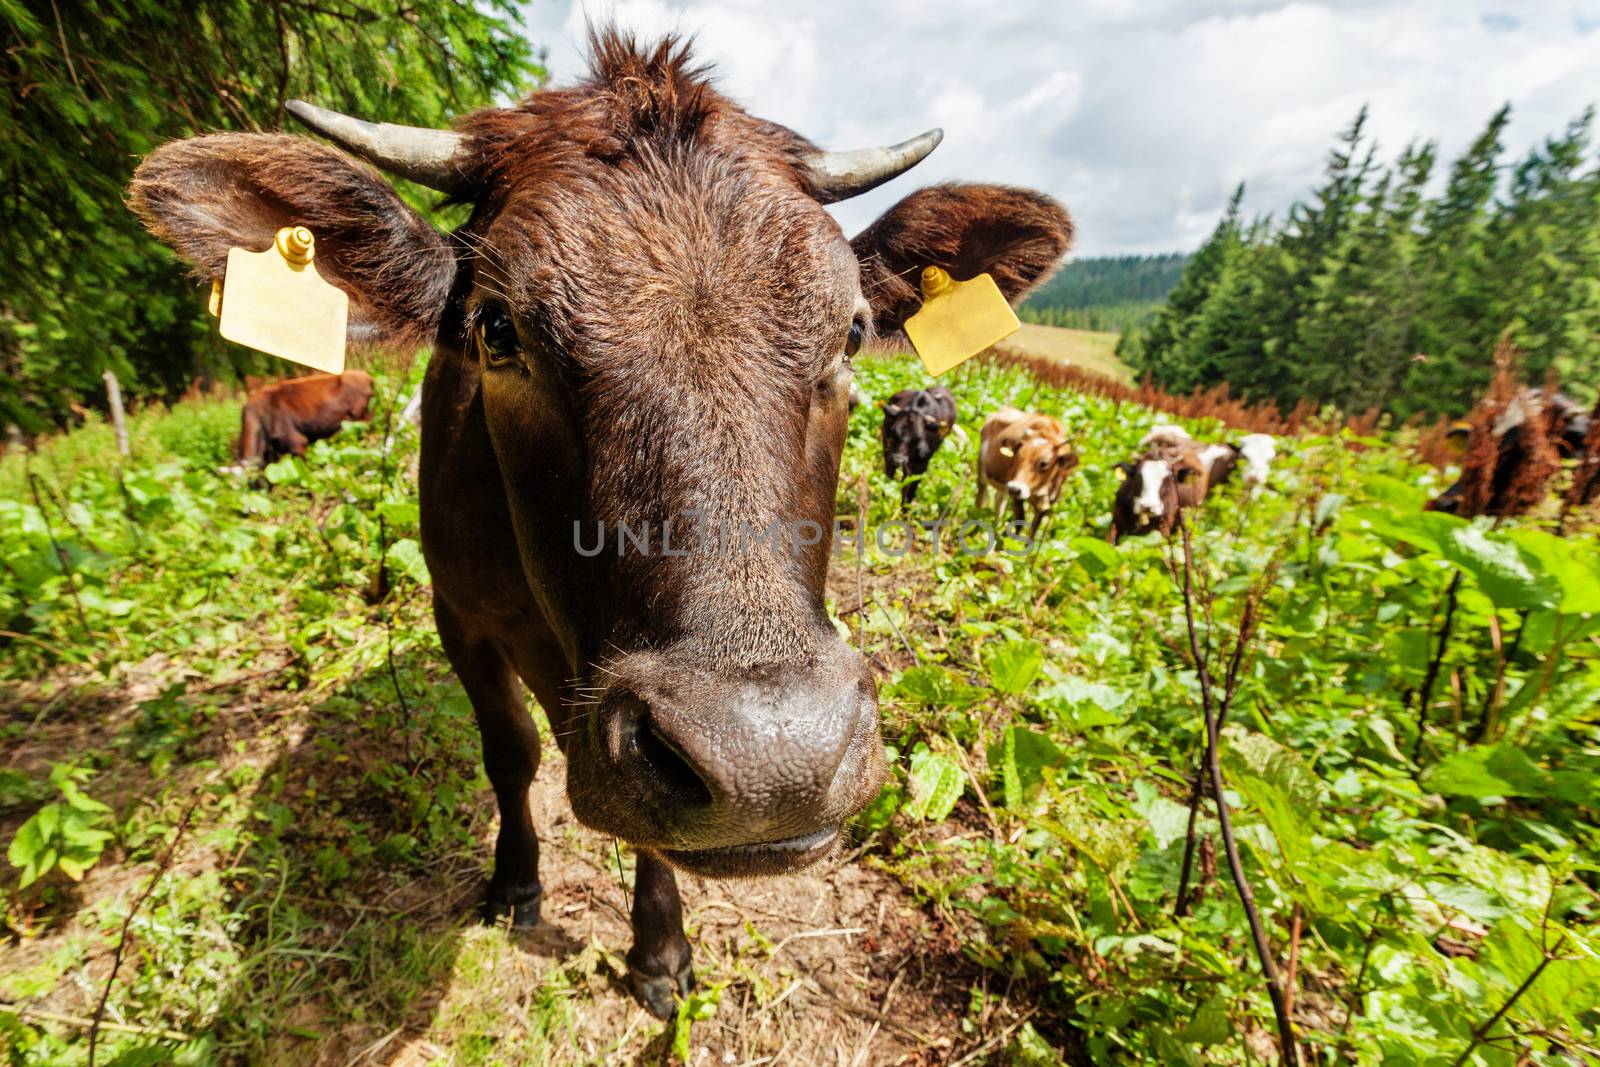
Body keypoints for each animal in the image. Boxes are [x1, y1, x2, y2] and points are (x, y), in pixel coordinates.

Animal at [972, 406, 1075, 534]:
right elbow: (1019, 522)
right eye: (1018, 455)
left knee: (999, 502)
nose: (1015, 488)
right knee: (981, 500)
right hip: (982, 471)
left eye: (1044, 463)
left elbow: (1033, 530)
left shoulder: (1046, 504)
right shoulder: (1016, 495)